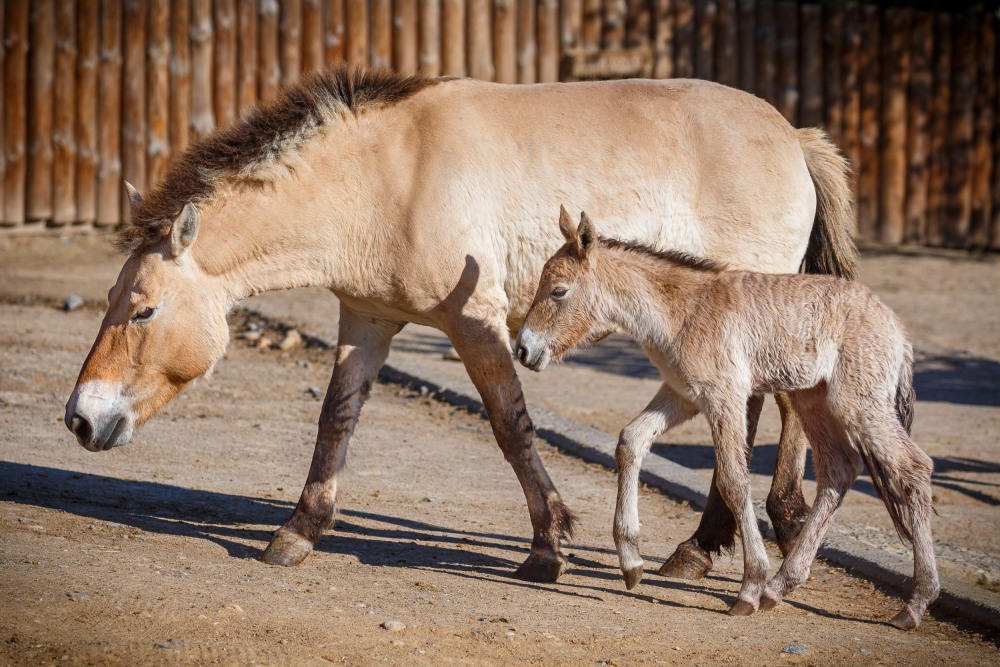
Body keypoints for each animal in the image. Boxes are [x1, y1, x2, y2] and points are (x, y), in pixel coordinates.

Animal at [66, 65, 856, 580]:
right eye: (110, 297)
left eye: (143, 308)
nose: (79, 418)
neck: (383, 175)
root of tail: (794, 136)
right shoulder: (366, 320)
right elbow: (336, 419)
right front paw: (298, 530)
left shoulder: (474, 322)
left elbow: (511, 425)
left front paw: (547, 546)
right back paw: (740, 533)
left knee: (759, 407)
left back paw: (713, 543)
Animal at [516, 210, 936, 632]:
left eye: (559, 291)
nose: (522, 349)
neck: (682, 309)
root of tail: (896, 327)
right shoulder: (682, 395)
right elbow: (630, 441)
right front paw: (631, 562)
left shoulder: (726, 398)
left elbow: (734, 481)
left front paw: (748, 588)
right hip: (814, 400)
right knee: (838, 471)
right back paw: (781, 586)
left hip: (858, 404)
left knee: (913, 468)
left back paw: (914, 604)